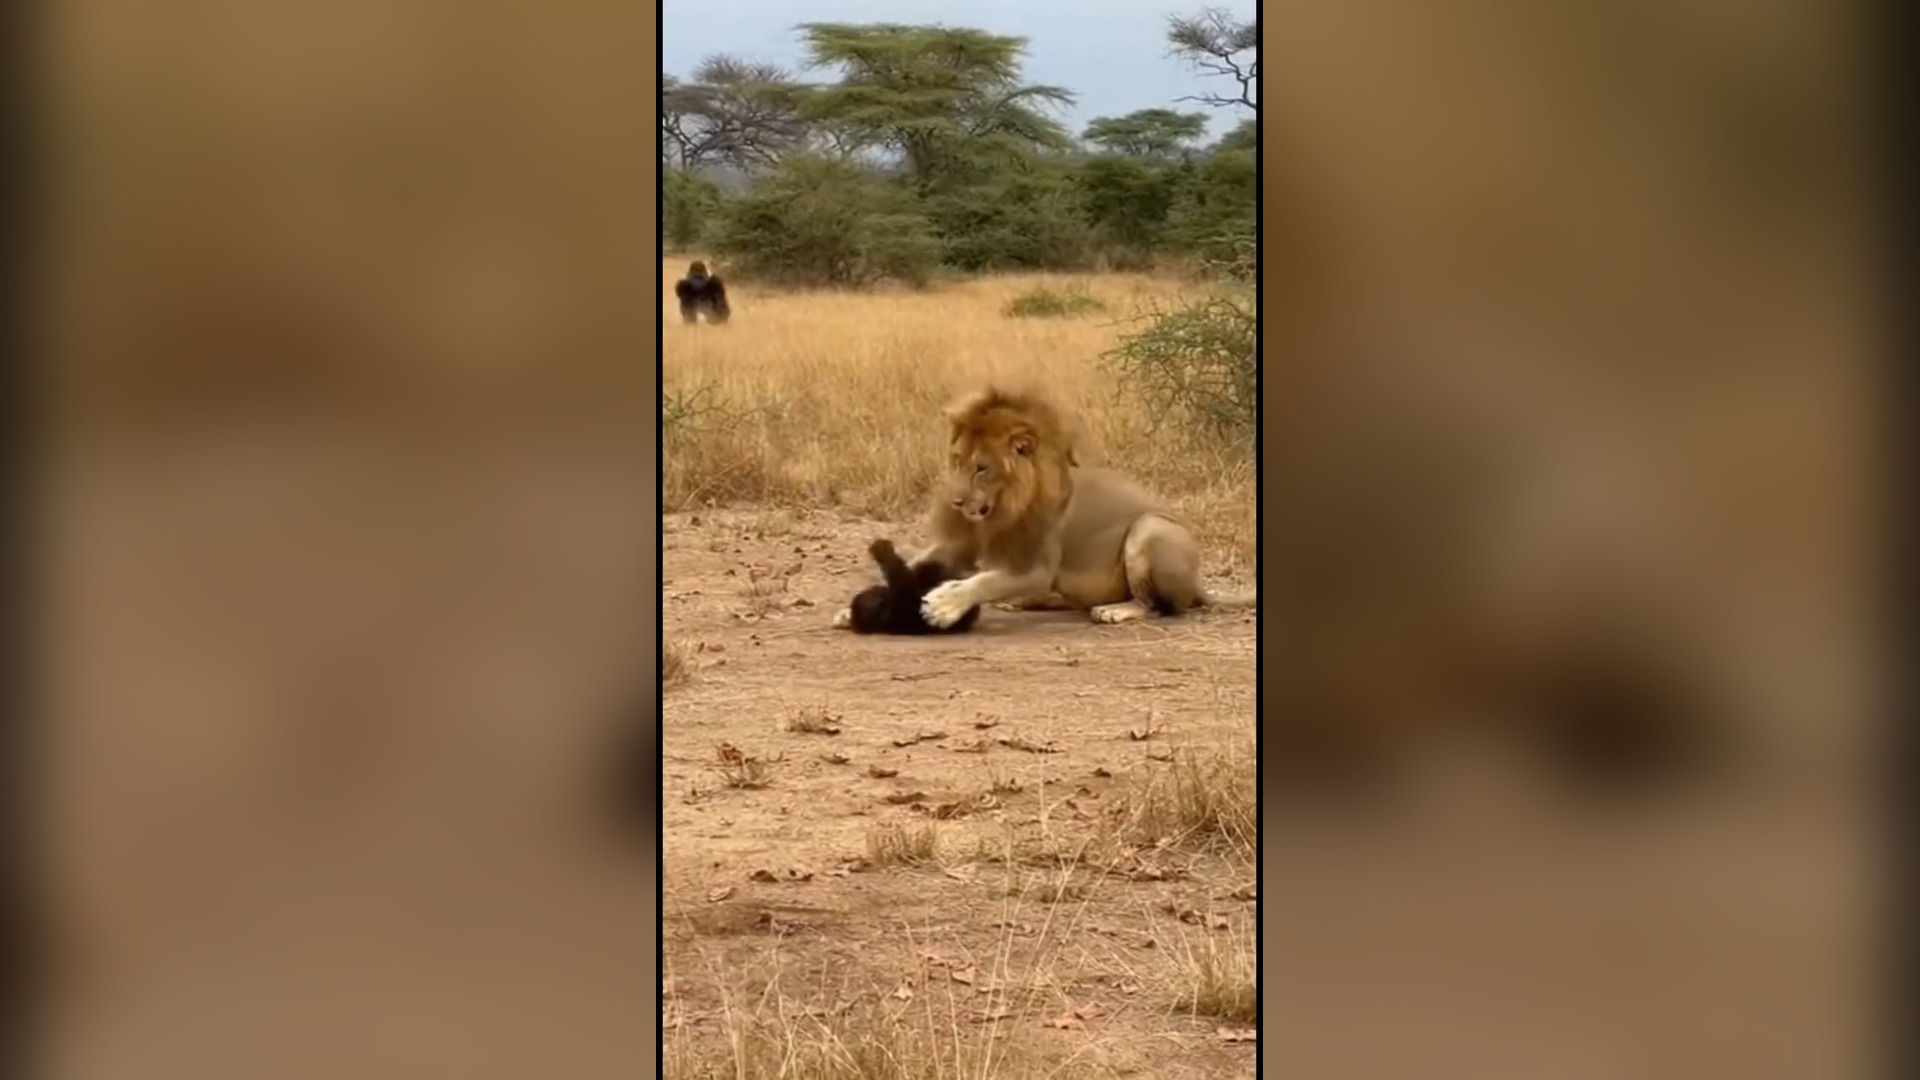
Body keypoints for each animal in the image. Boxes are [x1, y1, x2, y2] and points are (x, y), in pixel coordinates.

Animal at [833, 388, 1252, 630]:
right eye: (956, 461)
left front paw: (944, 603)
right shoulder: (959, 544)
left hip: (1150, 528)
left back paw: (1116, 611)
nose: (955, 501)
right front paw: (849, 609)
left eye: (982, 468)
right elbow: (919, 562)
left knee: (1161, 607)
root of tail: (1198, 584)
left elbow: (987, 580)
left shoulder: (1035, 565)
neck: (999, 510)